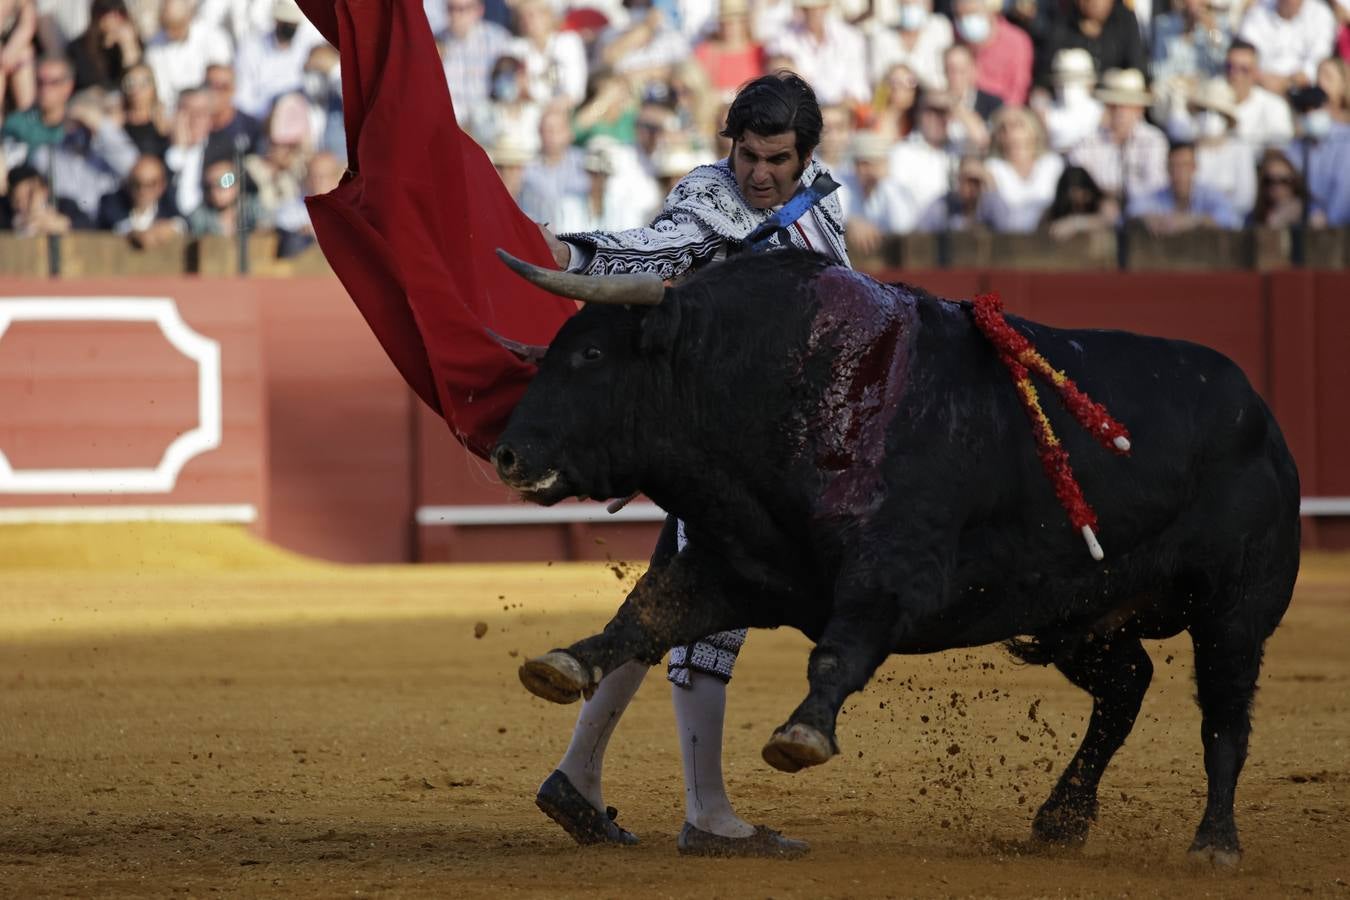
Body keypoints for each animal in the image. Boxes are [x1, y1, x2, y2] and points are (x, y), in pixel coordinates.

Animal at [488, 248, 1296, 863]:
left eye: (593, 354)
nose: (506, 454)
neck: (784, 383)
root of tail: (1261, 412)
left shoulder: (895, 575)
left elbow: (838, 652)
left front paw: (802, 734)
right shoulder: (738, 566)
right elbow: (643, 615)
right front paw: (561, 664)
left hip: (1232, 607)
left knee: (1224, 715)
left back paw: (1214, 843)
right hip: (1079, 613)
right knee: (1127, 686)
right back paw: (1060, 819)